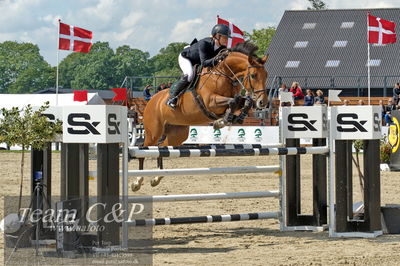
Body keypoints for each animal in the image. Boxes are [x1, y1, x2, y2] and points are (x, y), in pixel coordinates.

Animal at [132, 41, 268, 191]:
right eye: (253, 75)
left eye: (266, 75)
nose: (263, 102)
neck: (224, 74)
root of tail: (152, 101)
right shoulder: (211, 102)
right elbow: (232, 101)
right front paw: (222, 121)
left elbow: (243, 101)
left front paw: (235, 117)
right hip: (154, 132)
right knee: (145, 149)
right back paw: (137, 181)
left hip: (176, 134)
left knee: (161, 148)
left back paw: (156, 177)